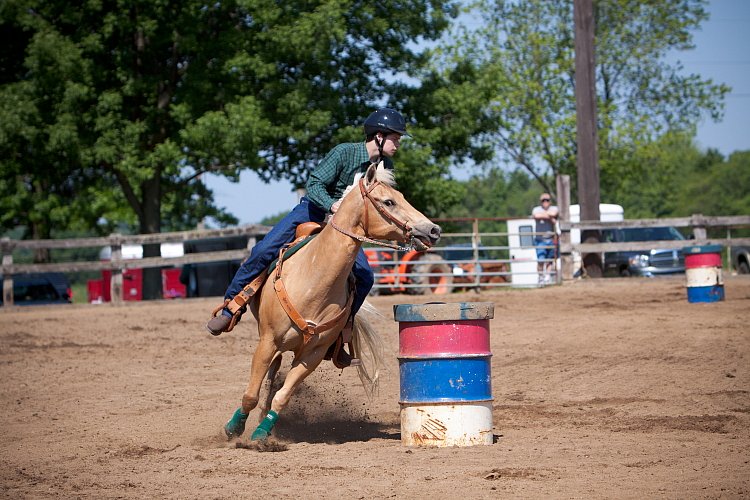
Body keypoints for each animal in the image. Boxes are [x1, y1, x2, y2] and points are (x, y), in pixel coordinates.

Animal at [226, 162, 444, 440]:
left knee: (274, 375)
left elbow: (282, 396)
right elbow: (250, 395)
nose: (433, 229)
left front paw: (263, 434)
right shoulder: (267, 341)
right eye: (389, 201)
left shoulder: (313, 355)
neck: (314, 281)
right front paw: (234, 428)